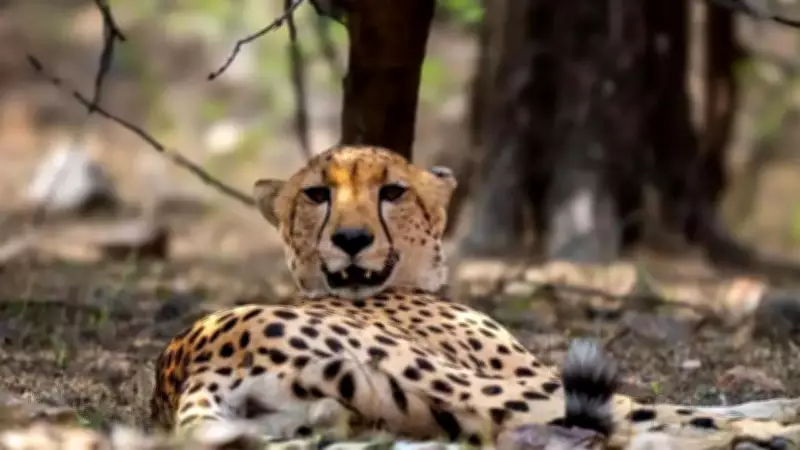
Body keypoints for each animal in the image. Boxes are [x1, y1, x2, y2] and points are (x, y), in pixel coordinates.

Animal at [150, 145, 800, 449]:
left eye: (392, 192)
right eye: (316, 195)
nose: (351, 240)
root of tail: (188, 361)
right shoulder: (531, 375)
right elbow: (688, 406)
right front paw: (778, 410)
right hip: (477, 386)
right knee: (646, 422)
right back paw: (774, 434)